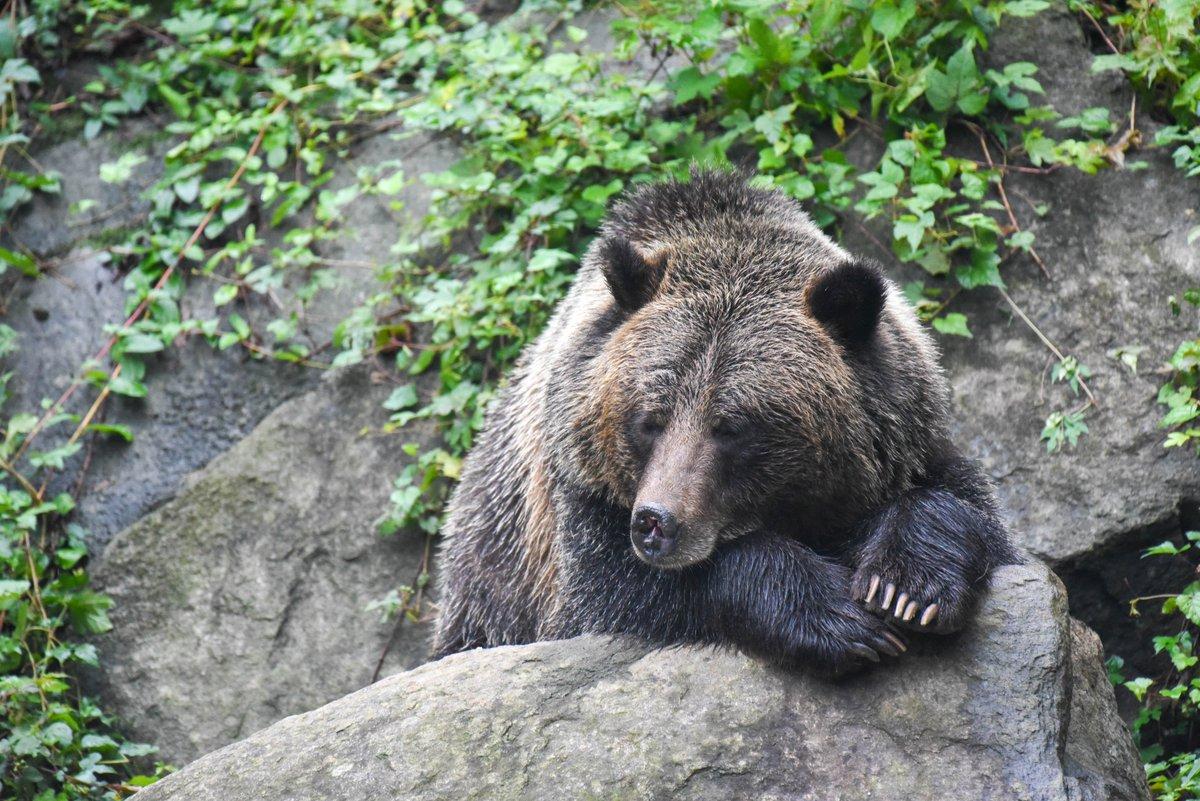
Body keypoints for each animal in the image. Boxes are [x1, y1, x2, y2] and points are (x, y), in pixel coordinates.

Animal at [431, 169, 1018, 673]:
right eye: (649, 419)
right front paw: (837, 614)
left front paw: (905, 588)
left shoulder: (906, 445)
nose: (656, 523)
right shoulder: (576, 509)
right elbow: (612, 595)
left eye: (733, 426)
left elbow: (966, 512)